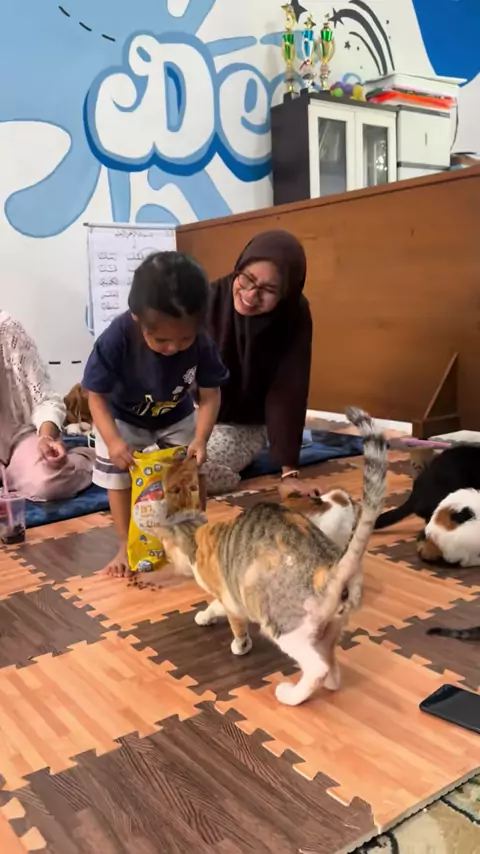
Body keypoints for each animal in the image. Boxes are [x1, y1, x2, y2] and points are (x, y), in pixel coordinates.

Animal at [156, 407, 387, 707]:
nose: (170, 562)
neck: (198, 534)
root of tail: (328, 570)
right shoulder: (231, 593)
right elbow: (215, 606)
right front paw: (206, 616)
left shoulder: (231, 596)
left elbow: (232, 622)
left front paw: (237, 643)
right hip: (330, 628)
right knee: (331, 663)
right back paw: (330, 683)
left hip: (283, 625)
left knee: (317, 667)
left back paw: (290, 695)